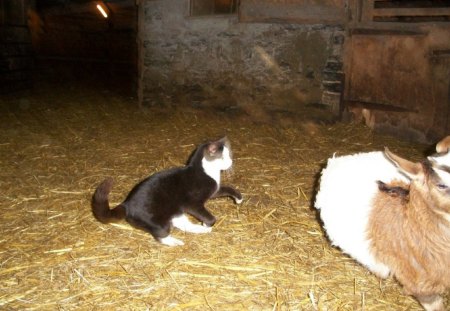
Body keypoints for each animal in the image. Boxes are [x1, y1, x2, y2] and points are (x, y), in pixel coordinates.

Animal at [89, 138, 241, 247]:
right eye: (223, 157)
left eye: (228, 155)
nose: (230, 161)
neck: (206, 171)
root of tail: (126, 204)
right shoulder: (193, 204)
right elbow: (209, 217)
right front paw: (206, 223)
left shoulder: (214, 190)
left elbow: (227, 189)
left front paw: (238, 198)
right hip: (157, 220)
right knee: (161, 234)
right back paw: (175, 241)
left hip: (175, 211)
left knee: (184, 225)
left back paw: (200, 229)